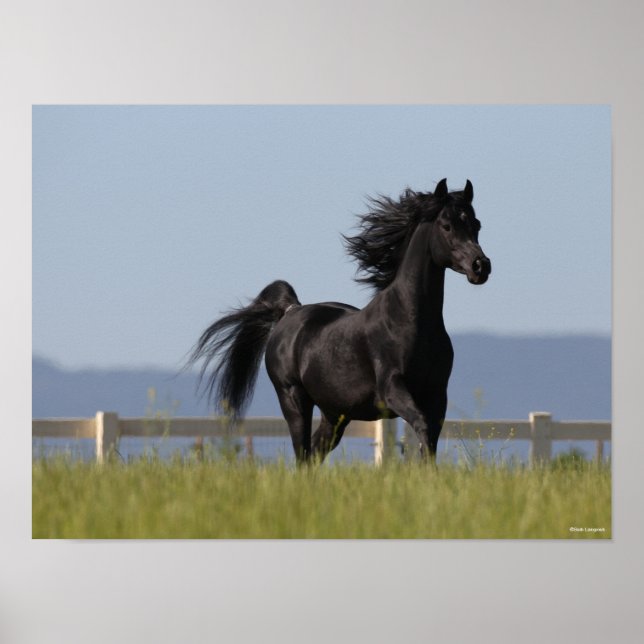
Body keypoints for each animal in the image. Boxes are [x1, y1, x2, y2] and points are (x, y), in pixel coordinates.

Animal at [188, 178, 491, 463]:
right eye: (446, 226)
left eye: (476, 224)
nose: (480, 267)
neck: (410, 321)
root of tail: (290, 312)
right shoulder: (393, 390)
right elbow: (422, 428)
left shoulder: (437, 394)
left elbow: (430, 440)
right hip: (294, 400)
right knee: (302, 454)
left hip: (335, 414)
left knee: (312, 456)